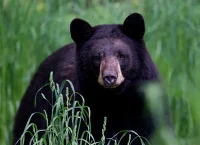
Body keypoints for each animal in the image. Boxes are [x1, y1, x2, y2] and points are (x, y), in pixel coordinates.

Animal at [12, 13, 172, 144]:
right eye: (97, 56)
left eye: (121, 55)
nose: (110, 77)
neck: (116, 100)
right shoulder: (83, 108)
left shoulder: (147, 107)